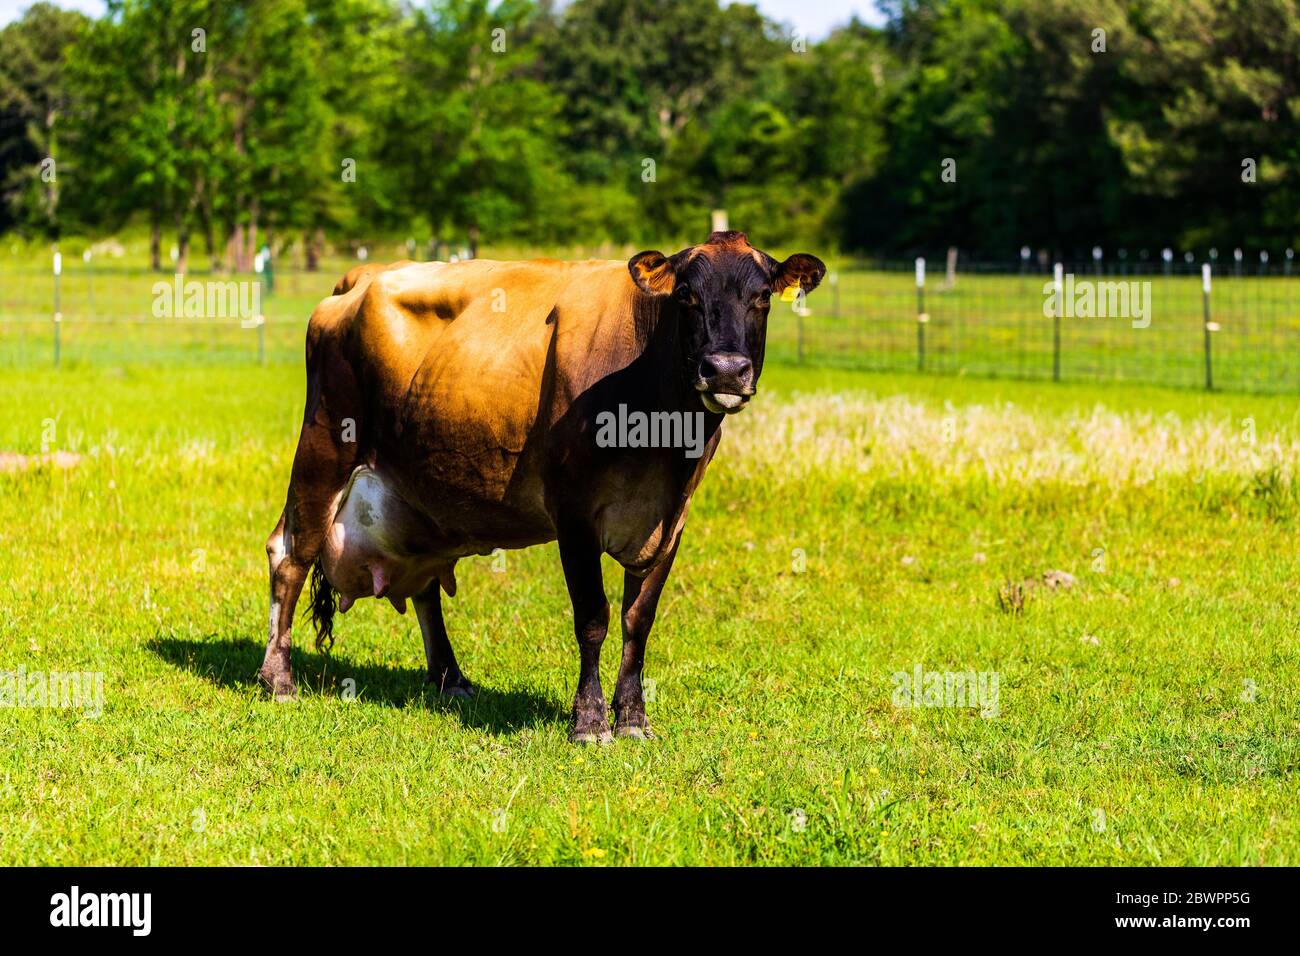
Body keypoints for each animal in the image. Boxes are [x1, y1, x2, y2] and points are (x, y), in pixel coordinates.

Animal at [261, 230, 825, 742]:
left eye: (762, 296)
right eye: (686, 294)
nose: (725, 370)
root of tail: (362, 277)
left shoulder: (671, 519)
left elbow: (638, 620)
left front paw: (633, 718)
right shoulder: (574, 512)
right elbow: (593, 617)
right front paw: (591, 721)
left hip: (419, 493)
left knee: (424, 584)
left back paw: (450, 678)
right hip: (324, 447)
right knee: (289, 555)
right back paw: (278, 678)